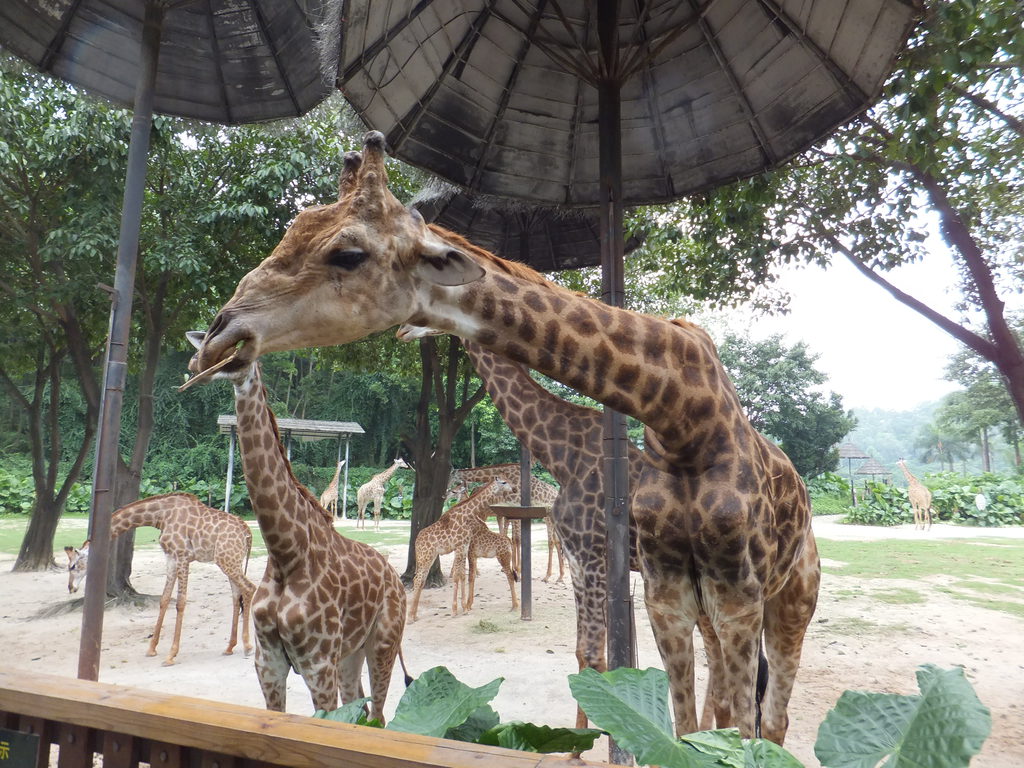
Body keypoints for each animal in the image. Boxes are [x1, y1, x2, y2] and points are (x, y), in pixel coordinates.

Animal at [102, 493, 258, 667]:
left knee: (249, 588)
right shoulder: (170, 557)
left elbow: (180, 602)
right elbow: (164, 599)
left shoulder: (182, 556)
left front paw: (170, 655)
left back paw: (248, 646)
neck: (160, 516)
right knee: (237, 595)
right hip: (231, 561)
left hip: (227, 561)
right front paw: (151, 649)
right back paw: (230, 647)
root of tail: (248, 533)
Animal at [407, 479, 516, 622]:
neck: (466, 515)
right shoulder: (460, 546)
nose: (514, 489)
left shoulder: (464, 546)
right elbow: (458, 576)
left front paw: (464, 608)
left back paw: (414, 615)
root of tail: (417, 541)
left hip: (428, 557)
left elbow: (462, 575)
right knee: (418, 579)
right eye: (504, 482)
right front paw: (455, 610)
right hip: (425, 556)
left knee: (421, 579)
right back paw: (410, 617)